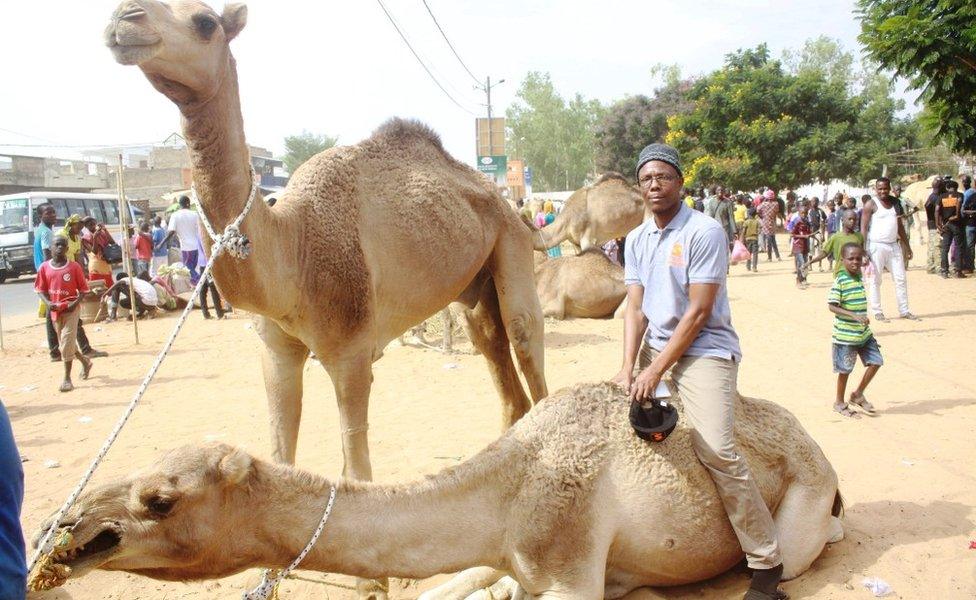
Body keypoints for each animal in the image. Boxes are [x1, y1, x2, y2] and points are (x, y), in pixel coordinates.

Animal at [42, 382, 844, 596]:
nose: (68, 529)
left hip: (806, 498)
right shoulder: (503, 558)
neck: (509, 488)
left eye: (159, 499)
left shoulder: (568, 565)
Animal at [106, 0, 548, 592]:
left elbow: (356, 461)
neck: (293, 247)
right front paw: (265, 575)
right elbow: (281, 447)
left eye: (204, 22)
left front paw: (372, 584)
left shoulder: (352, 352)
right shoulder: (275, 352)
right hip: (474, 287)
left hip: (511, 244)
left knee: (527, 349)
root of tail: (503, 199)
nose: (123, 20)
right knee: (498, 364)